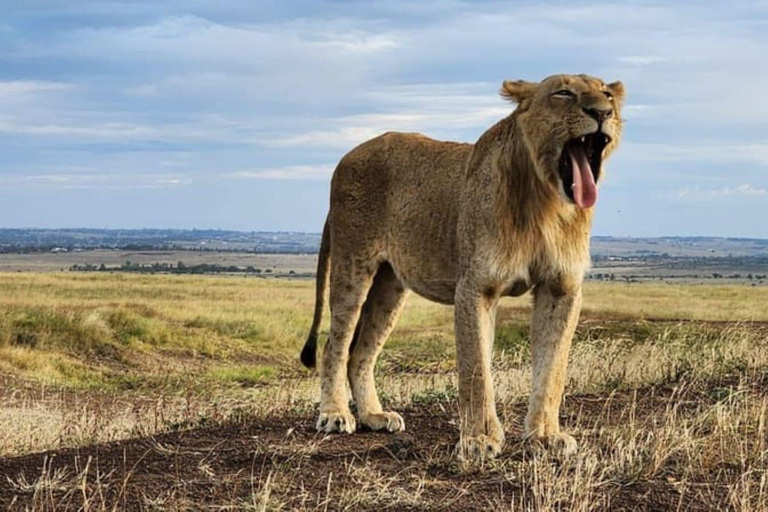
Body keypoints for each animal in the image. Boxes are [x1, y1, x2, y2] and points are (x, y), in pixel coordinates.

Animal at [300, 73, 624, 460]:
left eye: (606, 94)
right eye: (563, 93)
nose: (602, 112)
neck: (546, 202)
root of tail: (347, 156)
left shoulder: (561, 288)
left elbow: (553, 370)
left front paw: (546, 436)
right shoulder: (476, 287)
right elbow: (476, 370)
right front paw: (480, 440)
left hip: (390, 286)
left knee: (360, 353)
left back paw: (374, 416)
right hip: (353, 265)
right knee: (334, 346)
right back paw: (335, 414)